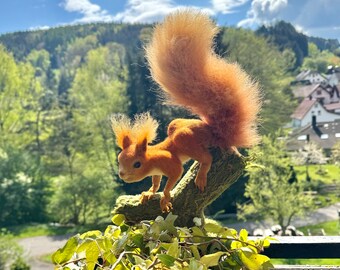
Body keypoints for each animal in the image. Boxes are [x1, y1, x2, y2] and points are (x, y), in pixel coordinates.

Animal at [111, 9, 260, 213]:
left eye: (137, 164)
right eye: (119, 159)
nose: (122, 174)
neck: (152, 158)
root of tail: (213, 130)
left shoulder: (169, 164)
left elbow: (172, 179)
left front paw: (165, 198)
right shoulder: (157, 172)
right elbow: (156, 182)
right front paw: (149, 192)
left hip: (186, 139)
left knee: (207, 158)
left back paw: (202, 175)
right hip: (175, 124)